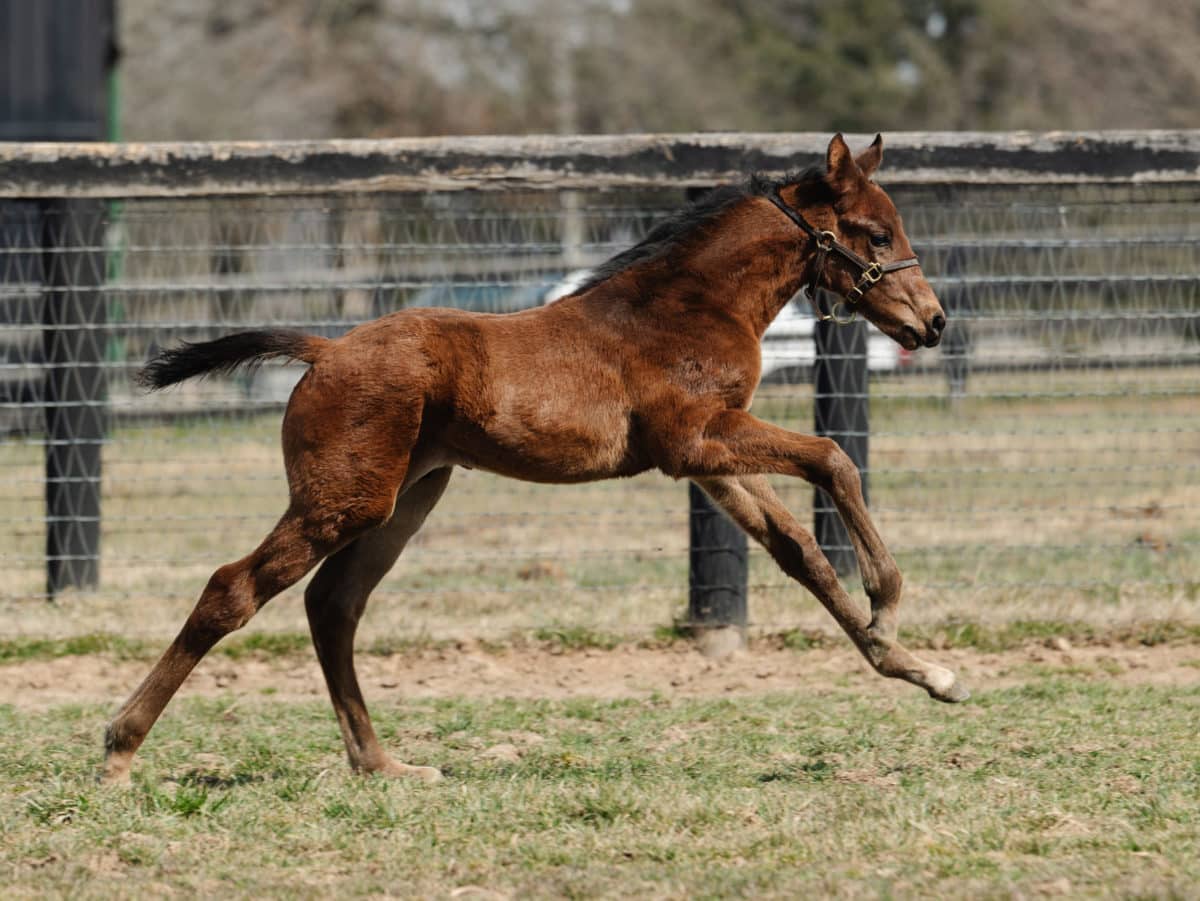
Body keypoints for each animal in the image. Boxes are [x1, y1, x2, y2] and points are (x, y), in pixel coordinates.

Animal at [100, 135, 964, 787]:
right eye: (875, 233)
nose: (933, 321)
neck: (685, 305)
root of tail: (325, 348)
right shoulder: (696, 438)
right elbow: (832, 459)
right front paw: (889, 603)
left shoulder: (707, 456)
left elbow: (797, 548)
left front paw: (918, 668)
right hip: (342, 499)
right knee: (234, 588)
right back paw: (119, 749)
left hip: (406, 497)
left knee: (333, 604)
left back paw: (383, 764)